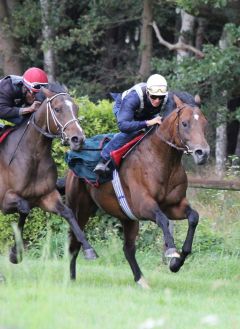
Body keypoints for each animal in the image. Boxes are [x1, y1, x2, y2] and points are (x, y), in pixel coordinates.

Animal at [0, 85, 97, 264]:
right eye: (57, 109)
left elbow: (68, 213)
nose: (78, 139)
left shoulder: (46, 196)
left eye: (76, 108)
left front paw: (88, 249)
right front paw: (15, 252)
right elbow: (24, 208)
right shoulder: (5, 200)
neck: (34, 155)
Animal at [64, 93, 209, 286]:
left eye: (205, 123)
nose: (203, 153)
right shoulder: (143, 206)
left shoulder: (174, 205)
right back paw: (72, 277)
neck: (162, 160)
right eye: (185, 123)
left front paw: (176, 263)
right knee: (74, 241)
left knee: (128, 249)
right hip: (80, 208)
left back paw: (141, 280)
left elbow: (193, 217)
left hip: (127, 217)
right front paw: (171, 250)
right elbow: (162, 219)